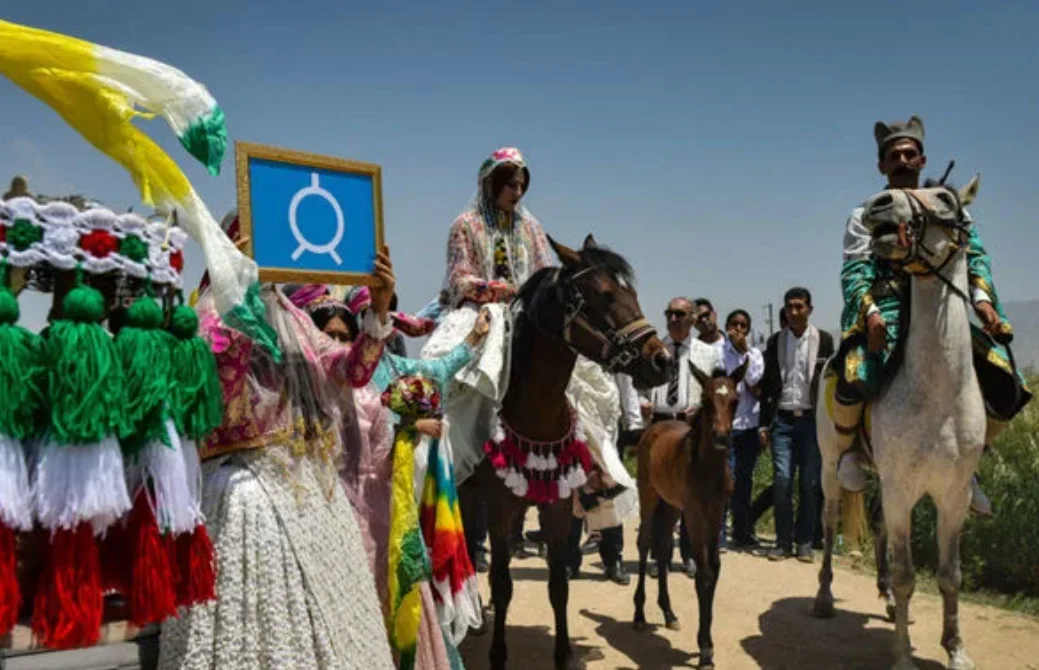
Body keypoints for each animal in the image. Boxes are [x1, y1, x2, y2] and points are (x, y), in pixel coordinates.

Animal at [459, 234, 669, 668]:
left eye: (632, 292)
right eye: (605, 295)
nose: (663, 360)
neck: (535, 414)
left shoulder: (555, 506)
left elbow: (558, 585)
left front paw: (564, 653)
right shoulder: (499, 509)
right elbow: (502, 583)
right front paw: (498, 654)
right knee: (472, 550)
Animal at [627, 361, 743, 668]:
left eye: (735, 401)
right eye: (706, 400)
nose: (721, 436)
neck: (707, 470)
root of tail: (655, 427)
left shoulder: (715, 515)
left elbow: (714, 569)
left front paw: (707, 646)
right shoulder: (695, 515)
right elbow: (703, 574)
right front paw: (704, 649)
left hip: (671, 506)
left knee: (663, 545)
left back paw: (668, 613)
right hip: (650, 495)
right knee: (645, 543)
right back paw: (639, 615)